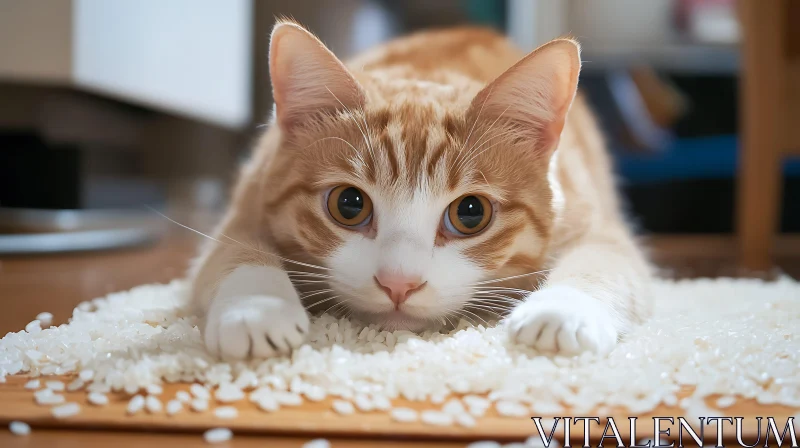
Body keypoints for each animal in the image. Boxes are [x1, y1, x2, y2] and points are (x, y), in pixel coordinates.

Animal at [191, 21, 652, 360]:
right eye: (348, 204)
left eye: (471, 212)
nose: (399, 284)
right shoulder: (249, 200)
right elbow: (236, 248)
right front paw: (256, 309)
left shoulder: (595, 221)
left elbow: (601, 259)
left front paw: (562, 310)